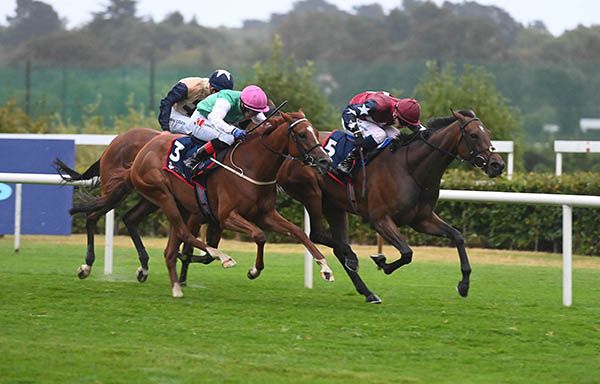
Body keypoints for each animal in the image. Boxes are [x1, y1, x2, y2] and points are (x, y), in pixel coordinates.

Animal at [129, 110, 336, 296]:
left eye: (315, 132)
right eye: (301, 135)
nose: (325, 161)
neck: (251, 166)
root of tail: (144, 149)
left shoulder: (265, 215)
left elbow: (298, 232)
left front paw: (325, 267)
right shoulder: (226, 217)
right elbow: (260, 235)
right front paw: (254, 270)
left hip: (182, 206)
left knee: (171, 249)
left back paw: (176, 288)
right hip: (162, 195)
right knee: (184, 233)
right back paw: (222, 257)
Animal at [276, 109, 506, 304]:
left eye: (488, 133)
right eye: (474, 135)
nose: (498, 164)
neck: (411, 169)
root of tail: (286, 158)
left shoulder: (421, 219)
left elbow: (457, 236)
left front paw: (464, 284)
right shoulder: (380, 220)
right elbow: (407, 252)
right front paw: (382, 262)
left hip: (335, 207)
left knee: (337, 245)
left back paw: (367, 291)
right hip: (312, 194)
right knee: (319, 236)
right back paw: (354, 260)